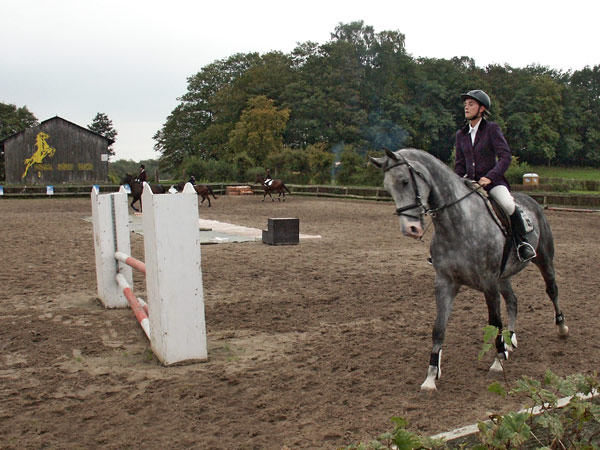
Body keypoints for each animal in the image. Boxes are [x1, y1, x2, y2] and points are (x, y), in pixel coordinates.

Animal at [368, 148, 568, 390]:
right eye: (387, 187)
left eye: (405, 181)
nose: (410, 229)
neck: (457, 224)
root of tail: (532, 201)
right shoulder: (446, 282)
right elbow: (438, 328)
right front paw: (430, 377)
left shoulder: (489, 283)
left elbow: (494, 322)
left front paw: (497, 363)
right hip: (503, 277)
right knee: (513, 301)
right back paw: (510, 340)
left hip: (544, 261)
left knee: (552, 290)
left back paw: (561, 328)